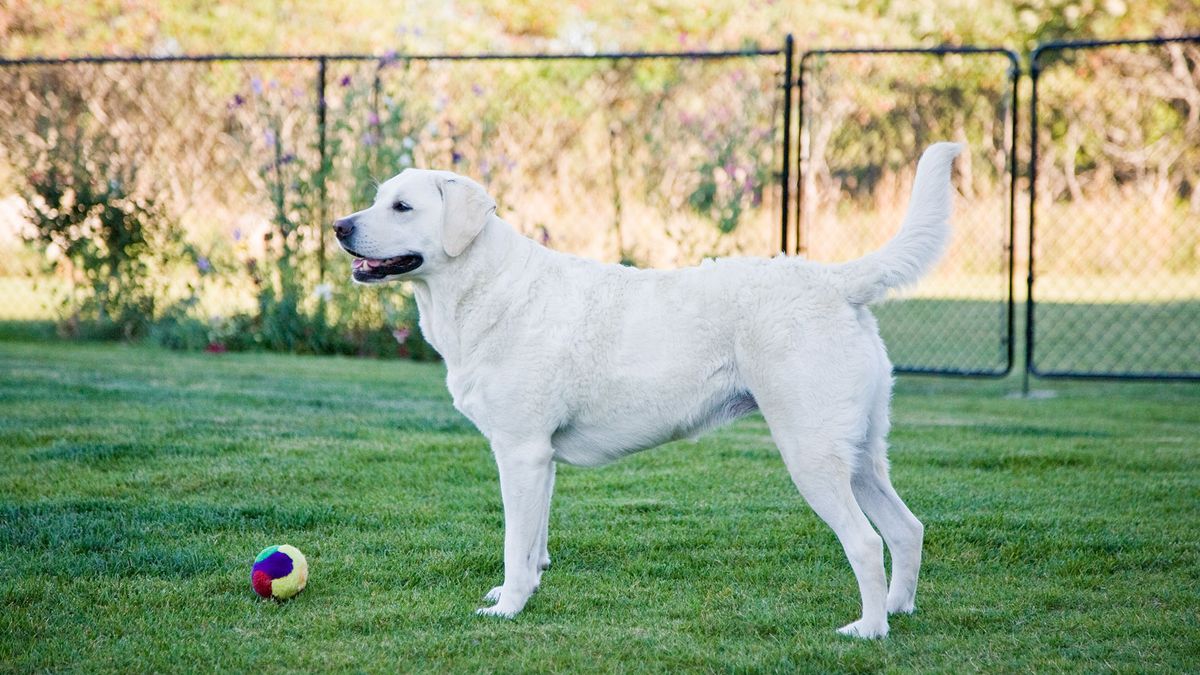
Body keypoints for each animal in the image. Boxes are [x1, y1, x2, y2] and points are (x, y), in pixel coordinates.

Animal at [338, 140, 964, 634]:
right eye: (377, 197)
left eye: (402, 206)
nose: (340, 227)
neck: (487, 286)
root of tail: (834, 280)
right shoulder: (541, 460)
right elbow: (534, 544)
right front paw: (524, 593)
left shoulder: (519, 452)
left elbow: (516, 546)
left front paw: (507, 609)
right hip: (860, 453)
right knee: (907, 530)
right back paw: (898, 610)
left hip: (811, 453)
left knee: (866, 542)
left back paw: (868, 630)